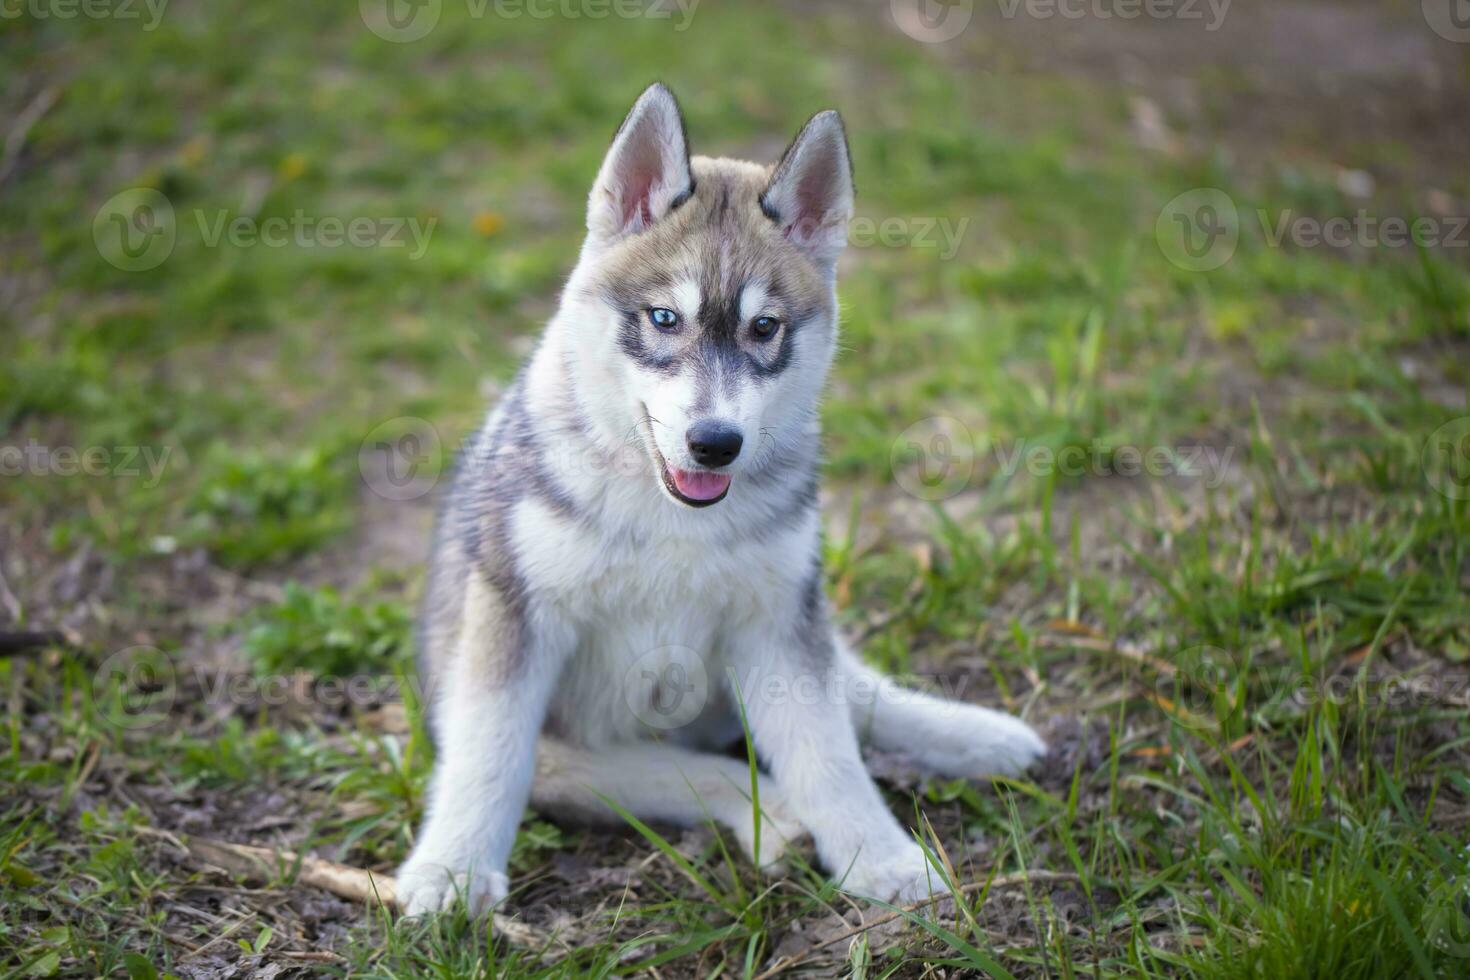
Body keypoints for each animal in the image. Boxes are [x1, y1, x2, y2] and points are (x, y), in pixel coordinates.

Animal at [393, 84, 1046, 922]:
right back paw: (769, 816)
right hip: (564, 746)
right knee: (649, 769)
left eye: (764, 328)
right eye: (664, 318)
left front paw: (882, 857)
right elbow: (488, 755)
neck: (670, 514)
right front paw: (451, 871)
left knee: (855, 696)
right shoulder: (513, 619)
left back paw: (978, 737)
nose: (715, 443)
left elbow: (827, 752)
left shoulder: (776, 623)